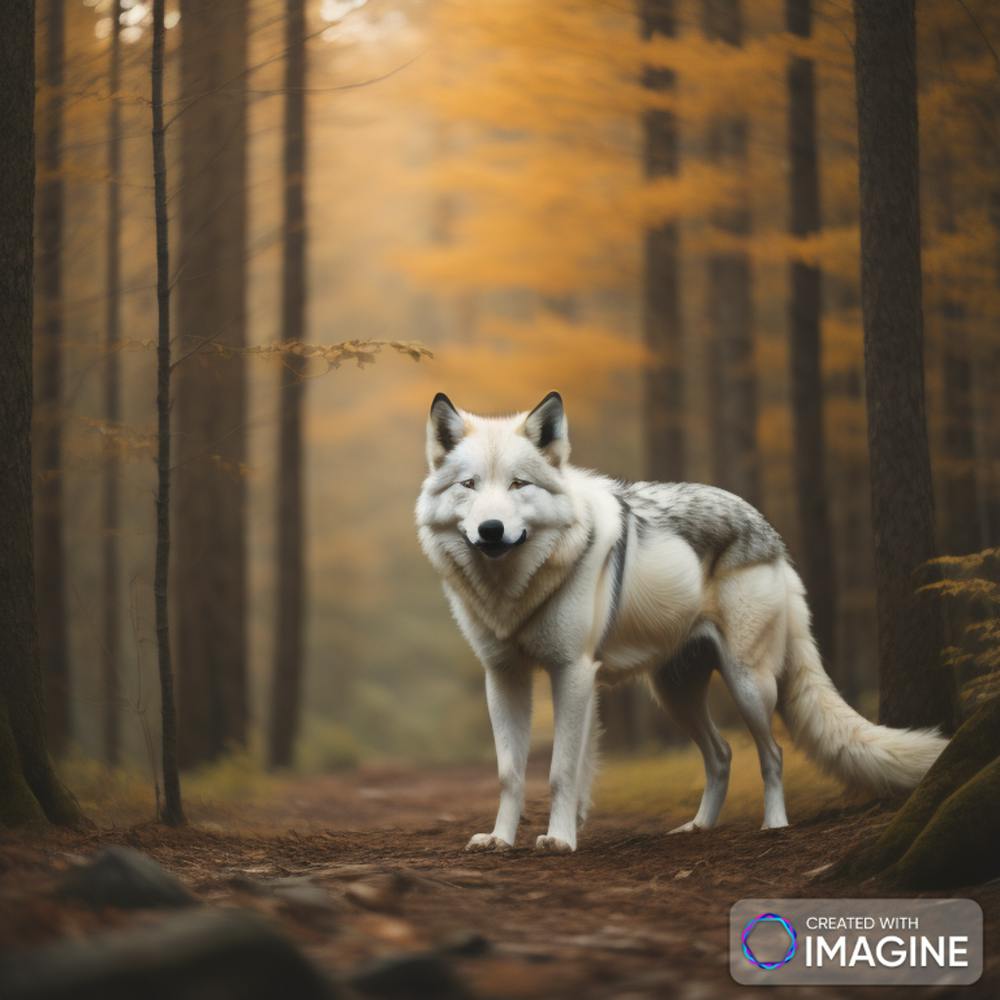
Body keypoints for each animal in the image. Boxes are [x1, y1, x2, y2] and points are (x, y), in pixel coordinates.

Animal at [415, 391, 946, 853]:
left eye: (518, 484)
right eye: (469, 485)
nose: (491, 530)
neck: (514, 590)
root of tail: (770, 533)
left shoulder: (573, 673)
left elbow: (561, 770)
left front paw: (560, 839)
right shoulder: (505, 676)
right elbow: (511, 773)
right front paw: (500, 840)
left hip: (748, 685)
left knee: (772, 753)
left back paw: (774, 824)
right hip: (674, 694)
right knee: (722, 754)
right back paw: (698, 827)